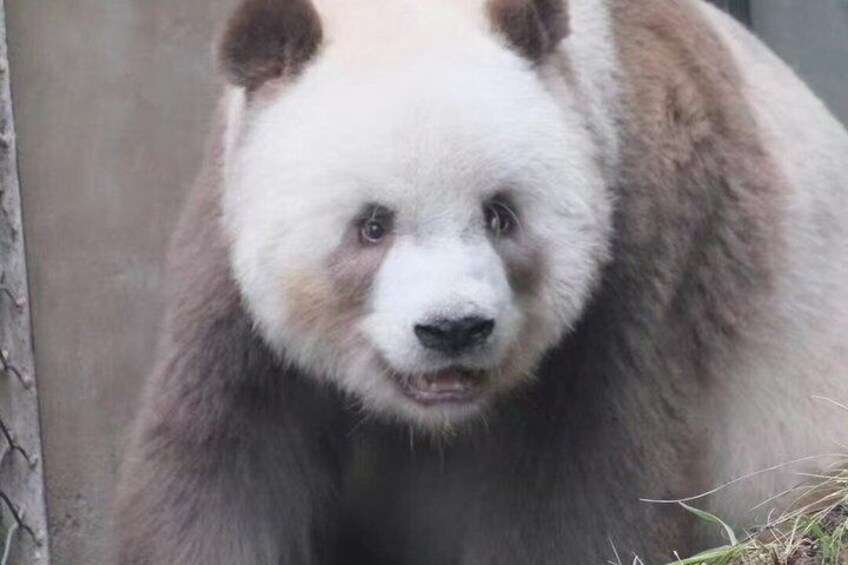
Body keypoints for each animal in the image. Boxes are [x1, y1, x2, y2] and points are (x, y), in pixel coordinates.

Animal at [114, 0, 848, 563]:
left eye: (500, 214)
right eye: (372, 225)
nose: (453, 329)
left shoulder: (637, 243)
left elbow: (582, 487)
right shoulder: (228, 244)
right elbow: (229, 457)